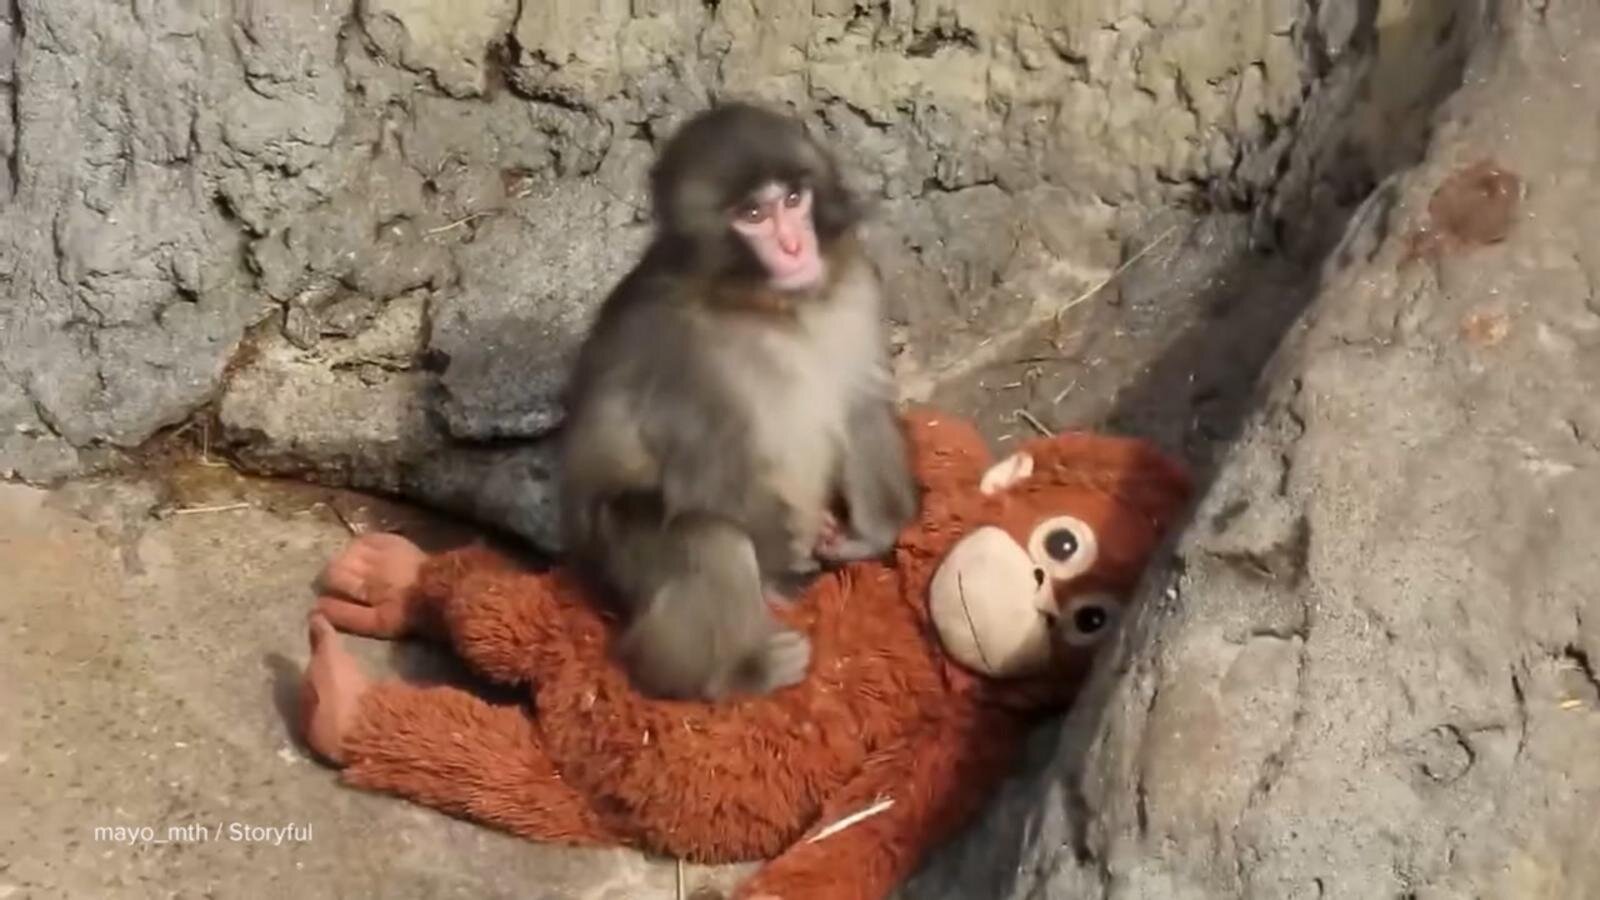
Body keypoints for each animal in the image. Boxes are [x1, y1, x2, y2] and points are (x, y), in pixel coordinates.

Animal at [557, 101, 920, 702]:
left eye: (794, 200)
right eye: (752, 215)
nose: (796, 248)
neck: (770, 306)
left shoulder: (854, 282)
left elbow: (861, 405)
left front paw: (870, 535)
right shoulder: (675, 347)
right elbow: (706, 474)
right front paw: (785, 554)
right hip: (617, 562)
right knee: (708, 532)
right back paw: (730, 671)